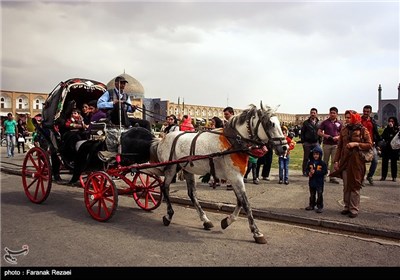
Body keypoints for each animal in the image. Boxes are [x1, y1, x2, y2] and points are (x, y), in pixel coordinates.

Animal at [150, 102, 288, 243]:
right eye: (271, 123)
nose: (284, 147)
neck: (233, 142)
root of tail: (162, 139)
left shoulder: (234, 177)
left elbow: (240, 201)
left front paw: (227, 221)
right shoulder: (235, 176)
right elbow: (245, 203)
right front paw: (256, 232)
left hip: (187, 169)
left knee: (192, 194)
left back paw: (205, 220)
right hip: (171, 168)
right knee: (165, 188)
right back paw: (169, 215)